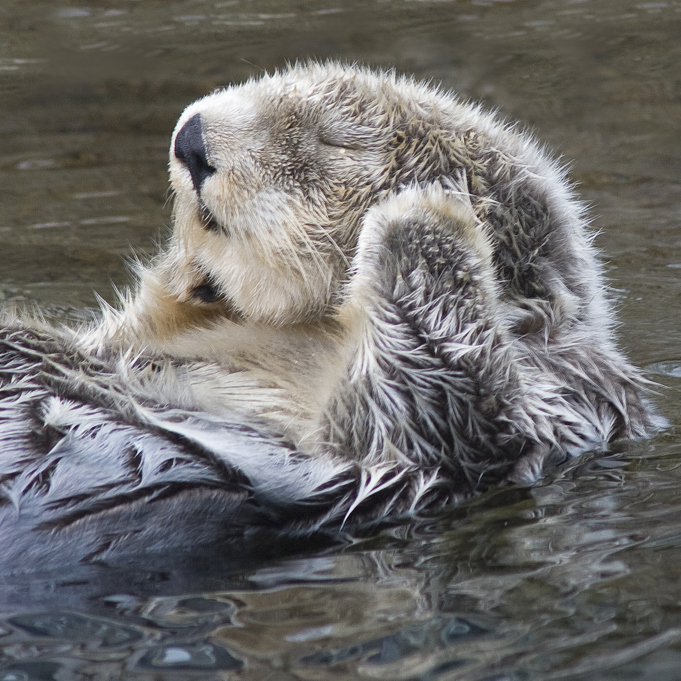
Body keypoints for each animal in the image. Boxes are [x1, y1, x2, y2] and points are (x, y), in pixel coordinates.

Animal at [0, 62, 660, 564]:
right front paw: (192, 272)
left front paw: (427, 214)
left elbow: (428, 395)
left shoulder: (522, 413)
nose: (191, 139)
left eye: (335, 142)